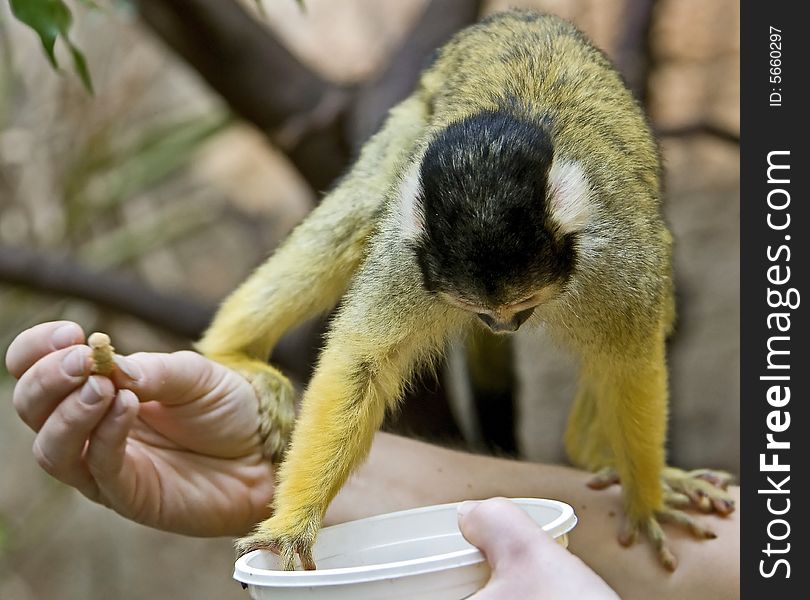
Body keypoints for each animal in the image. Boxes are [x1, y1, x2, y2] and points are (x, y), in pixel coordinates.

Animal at [194, 10, 732, 572]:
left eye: (523, 304)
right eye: (477, 308)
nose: (501, 325)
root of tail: (521, 15)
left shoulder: (615, 259)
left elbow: (628, 362)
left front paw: (647, 502)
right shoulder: (410, 258)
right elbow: (362, 364)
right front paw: (293, 524)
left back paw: (591, 448)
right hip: (412, 117)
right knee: (365, 207)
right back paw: (230, 351)